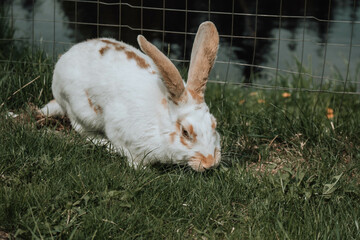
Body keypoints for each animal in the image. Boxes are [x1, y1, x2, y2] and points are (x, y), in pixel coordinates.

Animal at [40, 20, 219, 171]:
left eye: (214, 125)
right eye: (185, 132)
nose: (209, 163)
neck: (160, 123)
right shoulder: (119, 129)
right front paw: (143, 169)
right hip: (80, 111)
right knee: (82, 131)